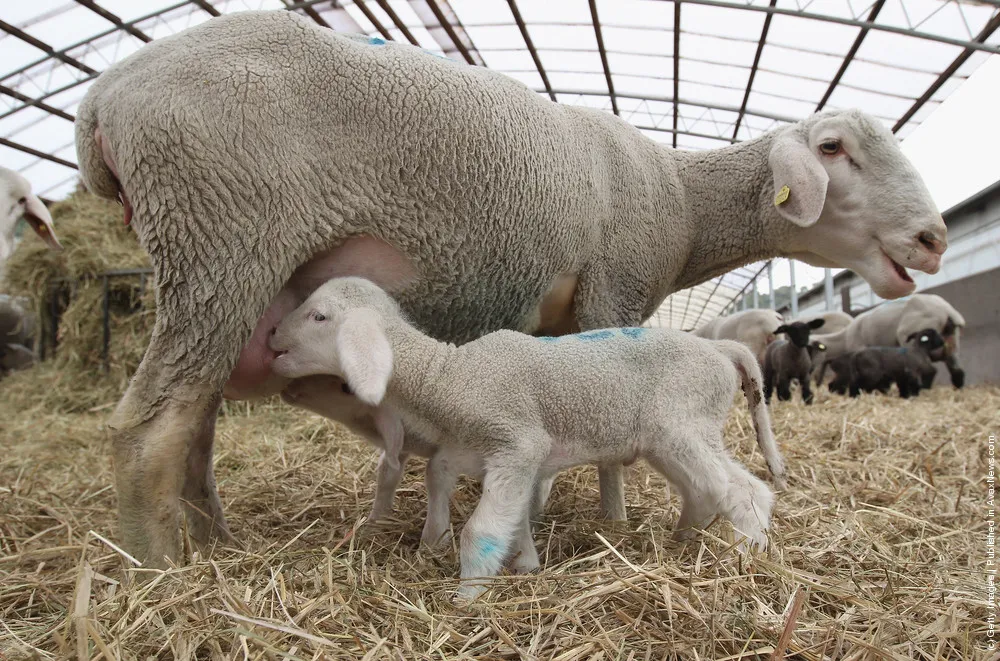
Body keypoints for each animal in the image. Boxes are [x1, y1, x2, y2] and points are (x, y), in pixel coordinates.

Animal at [270, 276, 784, 600]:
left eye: (319, 316)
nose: (272, 335)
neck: (450, 375)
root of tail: (720, 347)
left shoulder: (517, 442)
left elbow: (480, 531)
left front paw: (466, 597)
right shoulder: (480, 449)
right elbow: (456, 484)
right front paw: (517, 560)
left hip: (685, 425)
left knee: (745, 491)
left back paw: (745, 557)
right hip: (667, 439)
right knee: (703, 491)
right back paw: (682, 542)